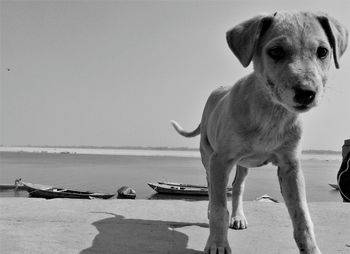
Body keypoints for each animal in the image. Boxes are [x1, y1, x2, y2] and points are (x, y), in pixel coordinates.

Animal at [172, 10, 348, 253]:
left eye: (323, 51)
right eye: (276, 51)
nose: (306, 93)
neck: (271, 112)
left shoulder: (290, 167)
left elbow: (302, 216)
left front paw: (311, 248)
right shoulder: (220, 161)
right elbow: (219, 207)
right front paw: (217, 243)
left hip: (243, 165)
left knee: (237, 187)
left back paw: (237, 217)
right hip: (208, 156)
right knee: (211, 188)